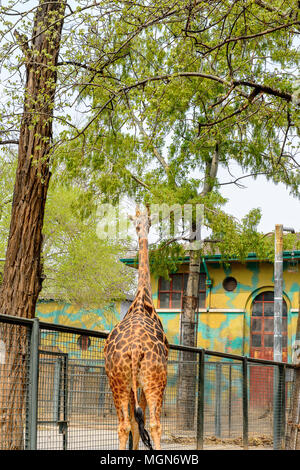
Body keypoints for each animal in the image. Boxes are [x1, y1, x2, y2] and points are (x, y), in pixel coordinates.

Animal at [103, 207, 169, 450]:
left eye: (145, 222)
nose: (144, 229)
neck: (142, 300)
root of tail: (134, 349)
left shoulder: (131, 384)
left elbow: (133, 423)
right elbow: (142, 423)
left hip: (117, 381)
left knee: (123, 425)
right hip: (155, 379)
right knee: (155, 424)